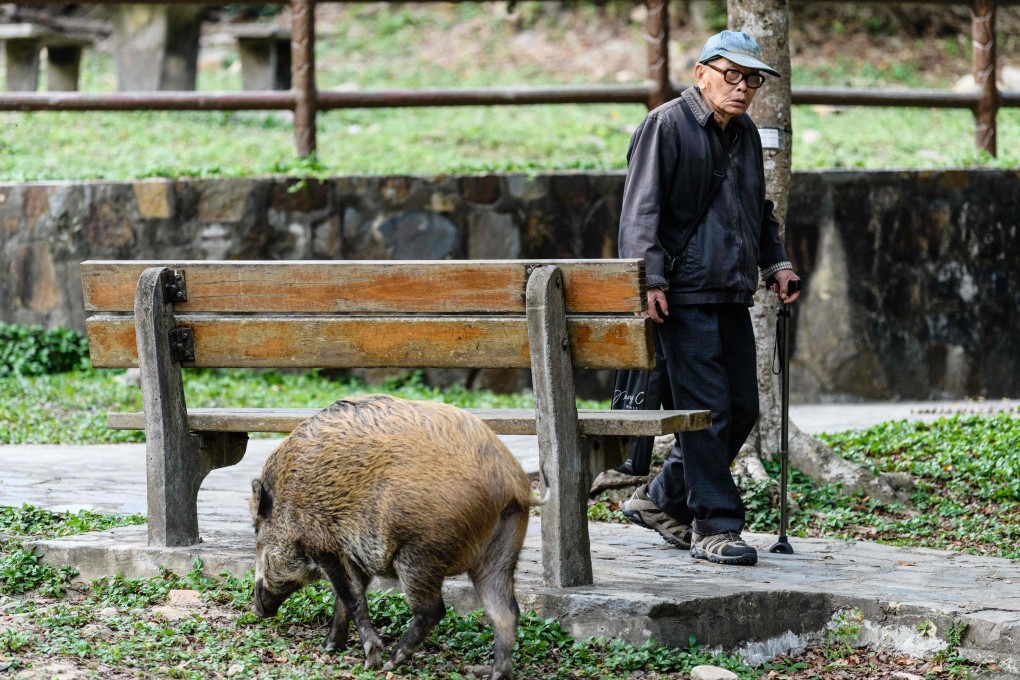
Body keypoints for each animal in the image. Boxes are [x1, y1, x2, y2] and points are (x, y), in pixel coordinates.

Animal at [250, 393, 537, 680]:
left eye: (256, 529)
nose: (258, 610)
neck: (288, 498)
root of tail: (509, 482)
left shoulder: (323, 544)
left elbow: (350, 597)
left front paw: (370, 659)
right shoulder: (355, 556)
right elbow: (346, 599)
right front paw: (330, 647)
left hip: (420, 555)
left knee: (434, 609)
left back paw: (391, 662)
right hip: (501, 554)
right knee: (506, 613)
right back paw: (488, 673)